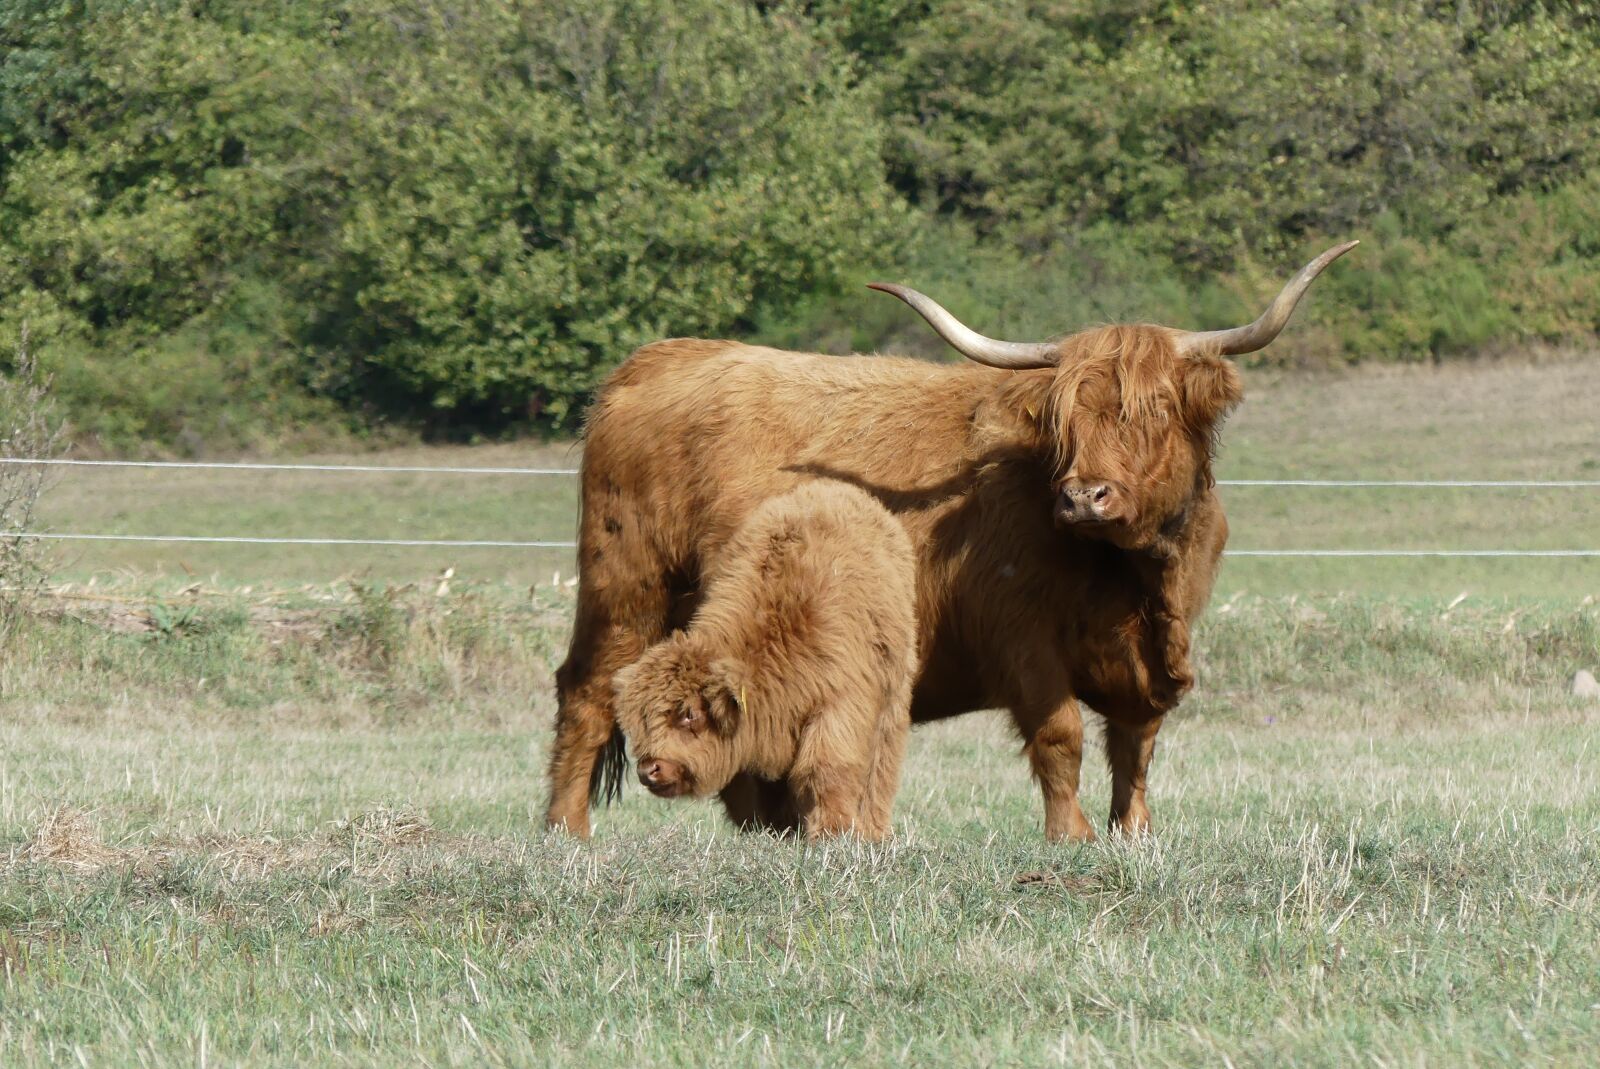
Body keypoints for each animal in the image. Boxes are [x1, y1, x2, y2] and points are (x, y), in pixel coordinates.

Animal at [610, 482, 917, 841]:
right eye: (641, 720)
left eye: (689, 714)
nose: (649, 770)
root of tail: (835, 489)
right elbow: (757, 786)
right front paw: (776, 831)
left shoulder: (839, 704)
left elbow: (826, 769)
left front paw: (832, 831)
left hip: (893, 695)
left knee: (881, 761)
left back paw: (873, 829)